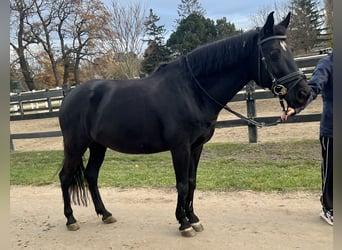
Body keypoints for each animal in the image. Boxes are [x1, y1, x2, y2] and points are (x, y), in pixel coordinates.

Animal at [58, 11, 310, 237]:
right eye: (274, 53)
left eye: (290, 51)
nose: (304, 94)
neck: (191, 91)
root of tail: (69, 97)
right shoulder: (180, 148)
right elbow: (182, 184)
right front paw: (184, 223)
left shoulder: (196, 147)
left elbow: (192, 182)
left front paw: (194, 218)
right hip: (75, 145)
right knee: (65, 177)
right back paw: (71, 219)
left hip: (97, 145)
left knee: (91, 175)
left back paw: (105, 213)